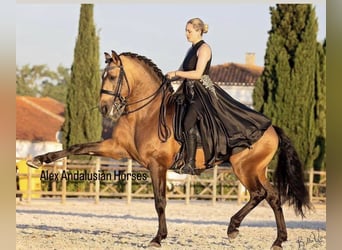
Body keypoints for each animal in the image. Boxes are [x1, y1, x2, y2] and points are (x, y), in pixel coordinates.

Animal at [27, 49, 312, 249]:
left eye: (112, 76)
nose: (105, 109)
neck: (145, 114)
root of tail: (271, 128)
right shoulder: (116, 148)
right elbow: (78, 146)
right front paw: (39, 159)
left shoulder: (157, 165)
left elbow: (160, 201)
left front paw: (157, 238)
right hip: (256, 169)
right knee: (273, 197)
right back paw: (278, 240)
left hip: (244, 168)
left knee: (259, 194)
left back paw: (234, 228)